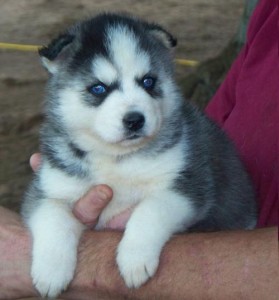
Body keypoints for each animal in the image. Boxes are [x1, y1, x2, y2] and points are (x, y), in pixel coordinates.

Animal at [22, 12, 258, 298]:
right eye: (98, 88)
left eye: (148, 81)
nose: (135, 120)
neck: (115, 159)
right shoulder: (48, 187)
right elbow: (53, 216)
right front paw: (51, 271)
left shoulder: (188, 184)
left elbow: (150, 210)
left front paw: (134, 258)